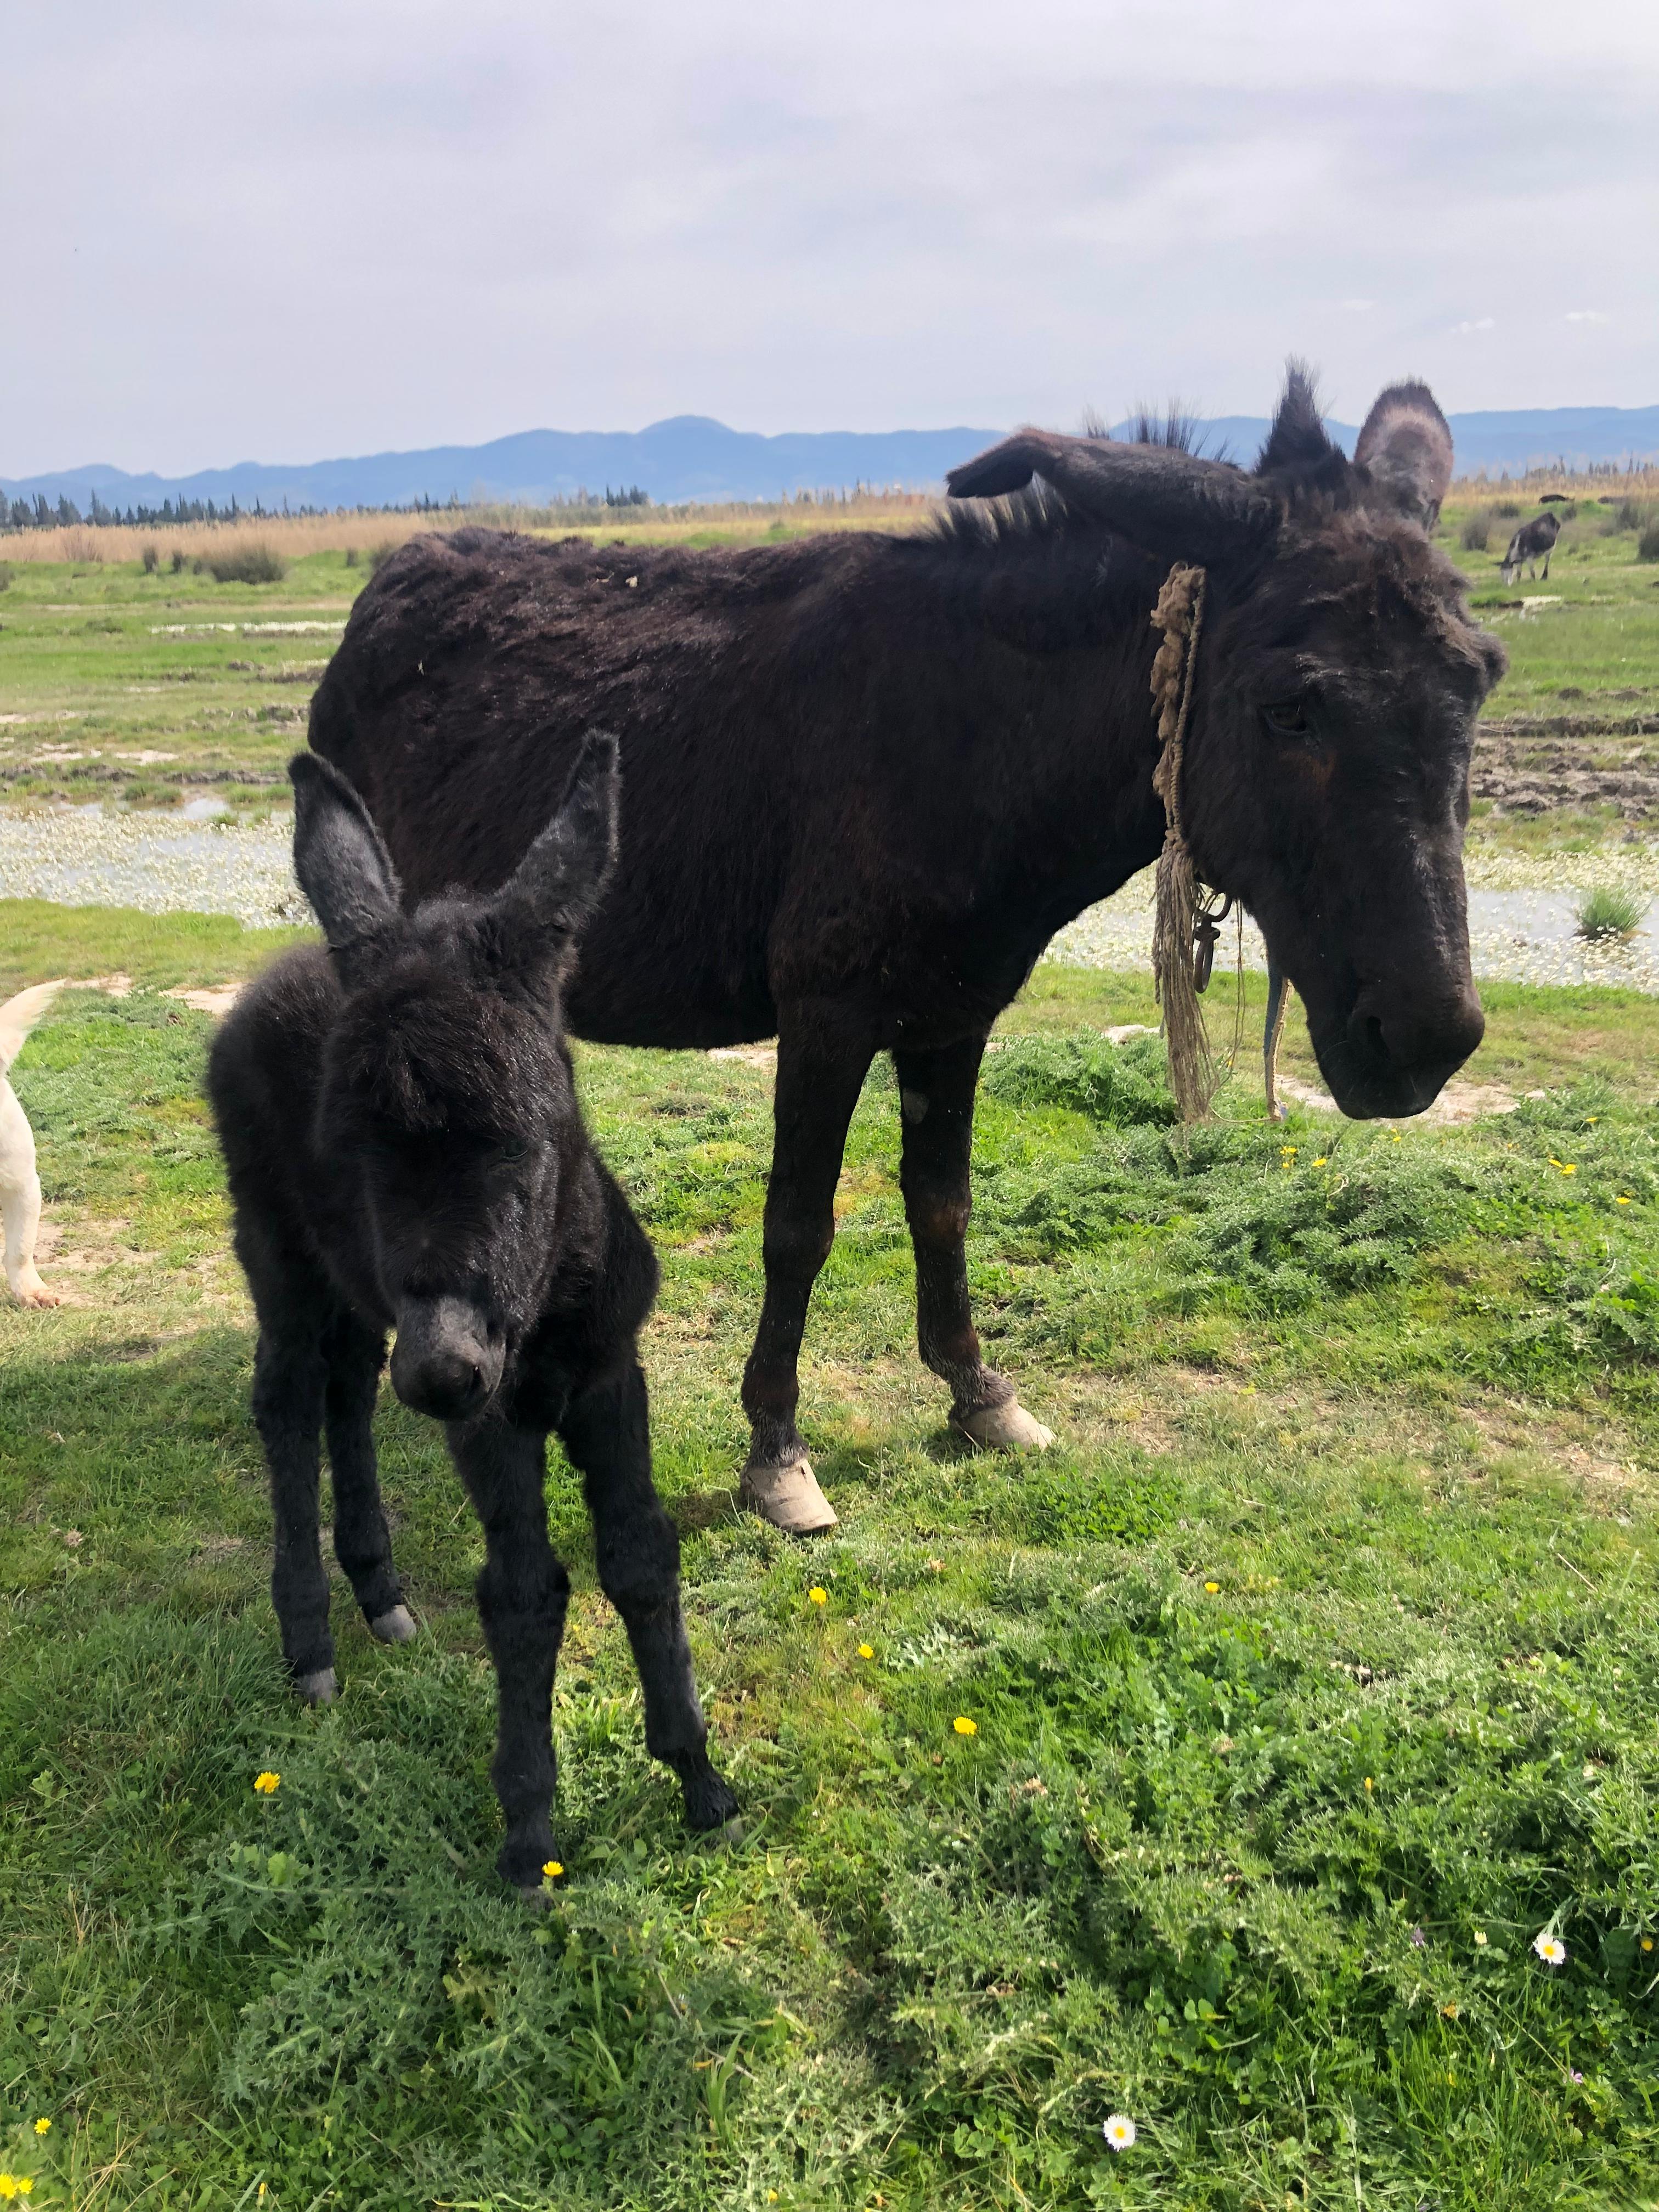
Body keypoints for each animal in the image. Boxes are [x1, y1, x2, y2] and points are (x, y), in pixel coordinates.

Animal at [206, 738, 734, 1884]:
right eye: (348, 1146)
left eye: (526, 1137)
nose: (445, 1370)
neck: (545, 1316)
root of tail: (274, 975)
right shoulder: (495, 1422)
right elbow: (525, 1593)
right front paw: (529, 1832)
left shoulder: (609, 1375)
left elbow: (641, 1556)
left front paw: (699, 1780)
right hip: (278, 1250)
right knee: (286, 1401)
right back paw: (311, 1642)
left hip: (359, 1300)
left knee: (347, 1396)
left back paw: (380, 1593)